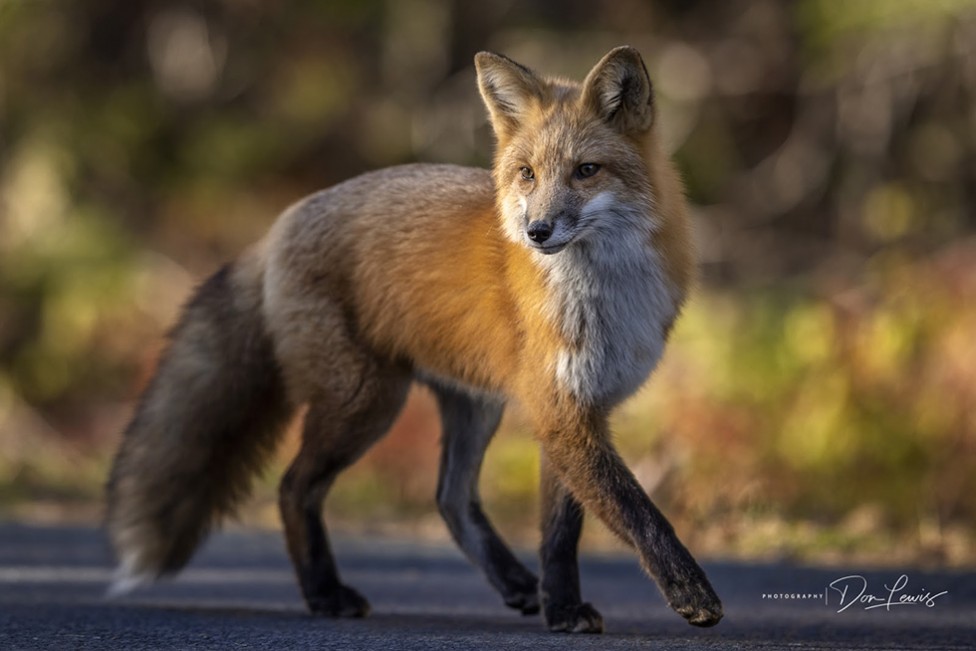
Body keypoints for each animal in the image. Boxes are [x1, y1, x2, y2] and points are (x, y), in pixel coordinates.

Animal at [107, 47, 720, 636]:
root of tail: (280, 225)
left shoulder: (574, 409)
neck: (605, 295)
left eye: (586, 171)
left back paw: (513, 584)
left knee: (450, 499)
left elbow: (561, 534)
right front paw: (690, 594)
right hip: (366, 402)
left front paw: (562, 609)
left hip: (472, 404)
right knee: (293, 487)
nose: (536, 232)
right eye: (527, 173)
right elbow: (637, 511)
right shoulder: (561, 411)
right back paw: (326, 595)